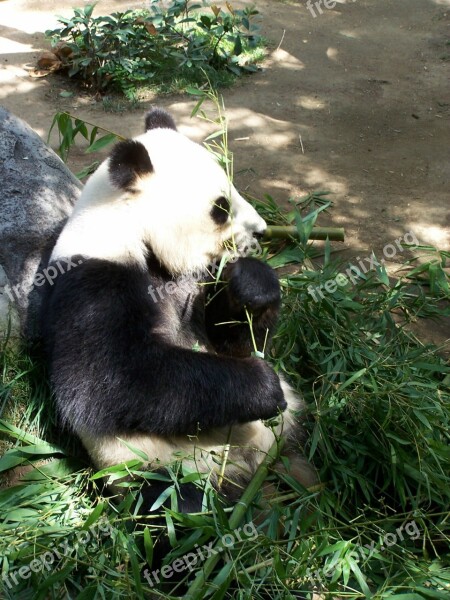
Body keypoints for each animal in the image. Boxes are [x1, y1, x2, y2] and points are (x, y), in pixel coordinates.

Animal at [42, 106, 316, 510]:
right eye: (221, 207)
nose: (263, 231)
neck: (129, 228)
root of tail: (246, 471)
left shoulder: (197, 283)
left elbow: (232, 338)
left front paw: (251, 283)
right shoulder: (92, 282)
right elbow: (110, 379)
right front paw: (261, 386)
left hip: (286, 429)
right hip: (154, 469)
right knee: (175, 505)